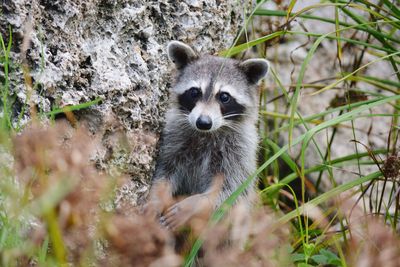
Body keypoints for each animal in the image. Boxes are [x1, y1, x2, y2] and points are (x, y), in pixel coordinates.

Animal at [148, 42, 270, 230]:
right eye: (195, 92)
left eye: (224, 96)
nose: (203, 122)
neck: (206, 134)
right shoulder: (174, 139)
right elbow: (165, 172)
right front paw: (156, 198)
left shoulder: (240, 152)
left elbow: (230, 192)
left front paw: (193, 205)